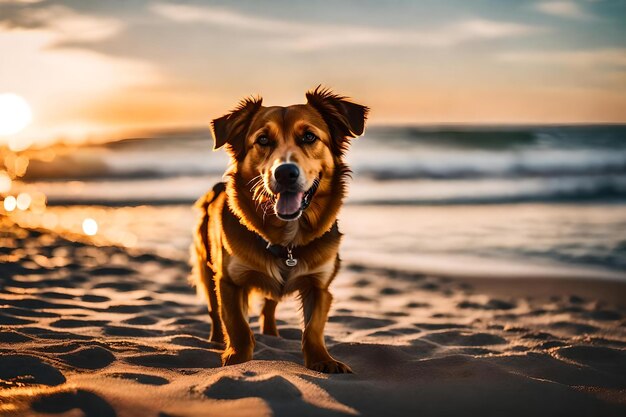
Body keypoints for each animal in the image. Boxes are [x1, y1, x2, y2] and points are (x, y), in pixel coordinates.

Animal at [190, 86, 366, 372]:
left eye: (309, 136)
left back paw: (272, 333)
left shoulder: (319, 285)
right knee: (214, 310)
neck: (287, 239)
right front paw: (236, 359)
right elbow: (237, 325)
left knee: (269, 307)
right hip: (207, 266)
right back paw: (216, 338)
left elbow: (314, 328)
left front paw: (323, 360)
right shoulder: (229, 281)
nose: (285, 173)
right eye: (263, 140)